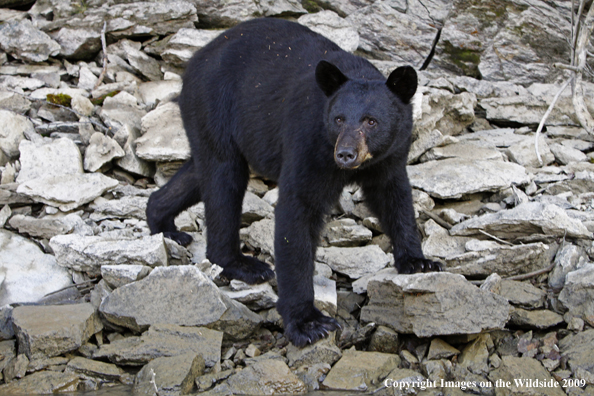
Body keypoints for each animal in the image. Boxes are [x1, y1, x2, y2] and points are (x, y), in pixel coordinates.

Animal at [145, 17, 440, 346]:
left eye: (371, 121)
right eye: (338, 119)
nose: (345, 154)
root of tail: (195, 60)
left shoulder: (391, 155)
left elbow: (394, 197)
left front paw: (419, 261)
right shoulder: (309, 141)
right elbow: (298, 211)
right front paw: (308, 322)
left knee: (201, 171)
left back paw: (164, 223)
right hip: (214, 104)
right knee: (224, 178)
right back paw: (242, 264)